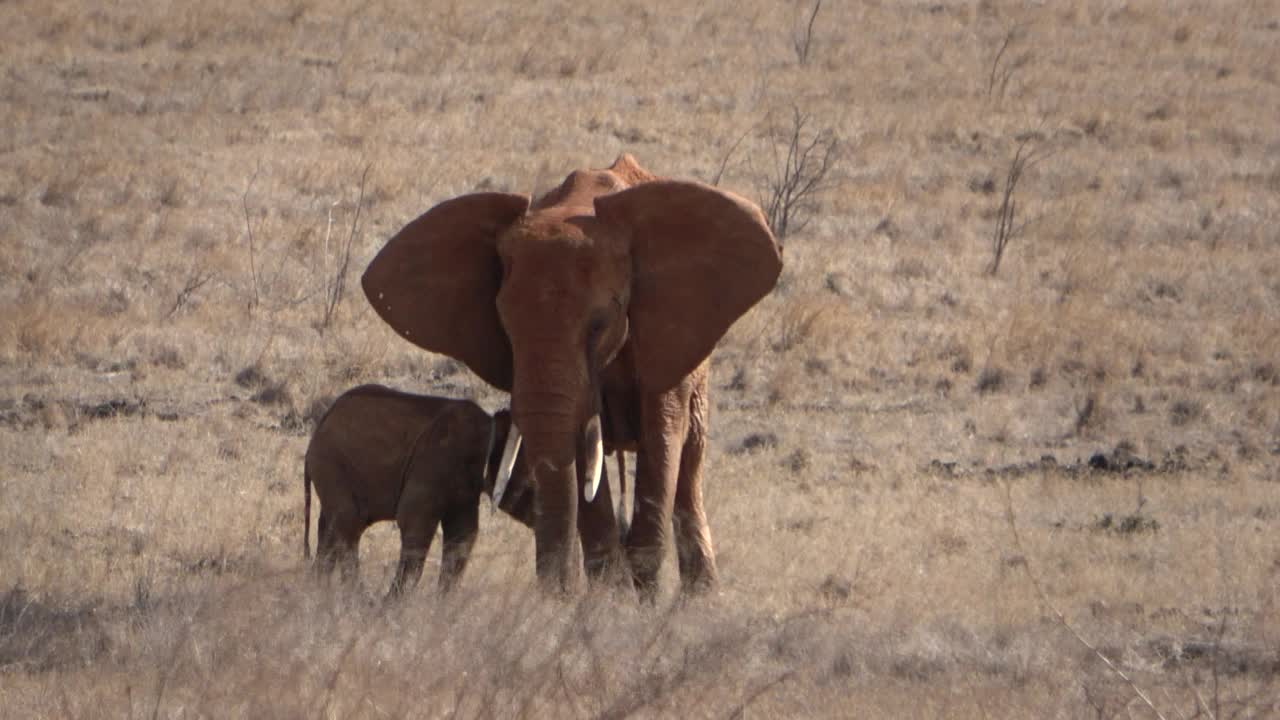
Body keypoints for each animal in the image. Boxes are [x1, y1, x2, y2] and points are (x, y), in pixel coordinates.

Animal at [302, 384, 532, 597]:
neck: (488, 428)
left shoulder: (466, 487)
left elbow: (463, 534)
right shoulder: (434, 460)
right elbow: (414, 521)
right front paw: (395, 604)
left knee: (329, 530)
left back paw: (319, 591)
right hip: (331, 464)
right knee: (350, 524)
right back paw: (357, 597)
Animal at [360, 154, 778, 597]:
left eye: (600, 324)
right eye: (505, 329)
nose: (557, 591)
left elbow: (661, 439)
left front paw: (639, 600)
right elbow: (581, 457)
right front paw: (608, 596)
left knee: (688, 465)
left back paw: (700, 599)